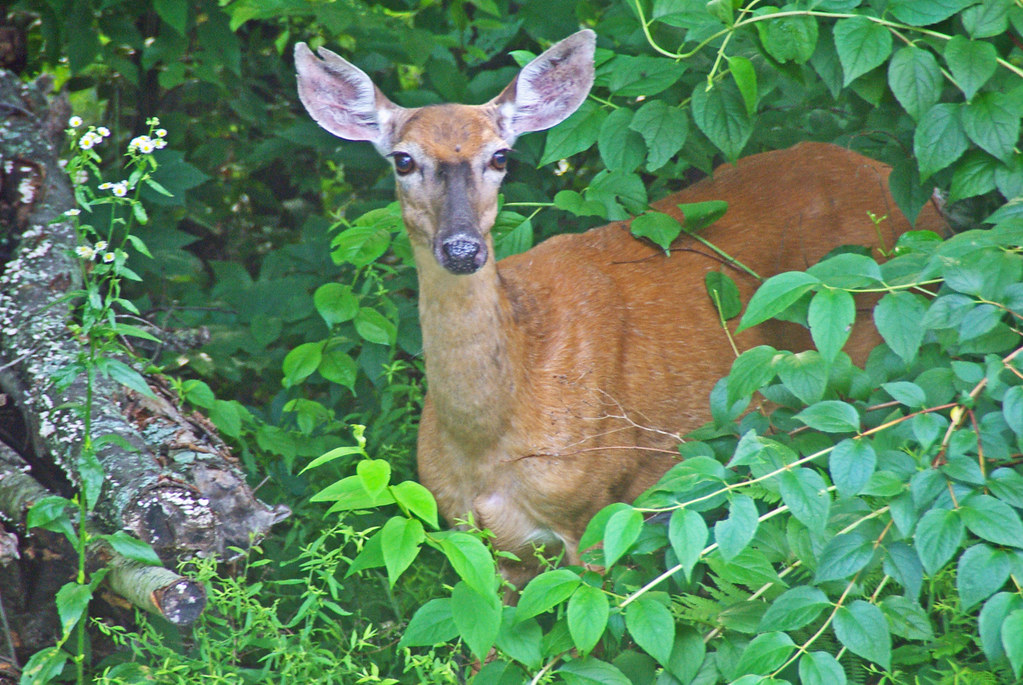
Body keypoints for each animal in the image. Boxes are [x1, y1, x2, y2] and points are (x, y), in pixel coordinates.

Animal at [294, 29, 947, 588]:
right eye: (403, 159)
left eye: (500, 156)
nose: (462, 248)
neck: (489, 439)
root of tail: (914, 192)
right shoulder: (476, 541)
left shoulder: (599, 508)